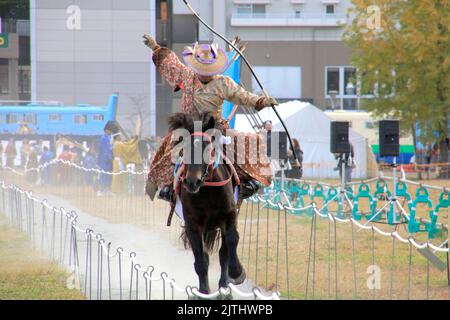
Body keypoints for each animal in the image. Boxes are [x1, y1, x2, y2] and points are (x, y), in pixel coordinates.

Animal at [168, 112, 246, 296]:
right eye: (184, 149)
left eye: (207, 147)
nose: (192, 182)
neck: (207, 190)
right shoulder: (193, 225)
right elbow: (201, 260)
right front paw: (203, 291)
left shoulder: (229, 216)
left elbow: (231, 241)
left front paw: (237, 272)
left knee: (224, 252)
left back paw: (224, 286)